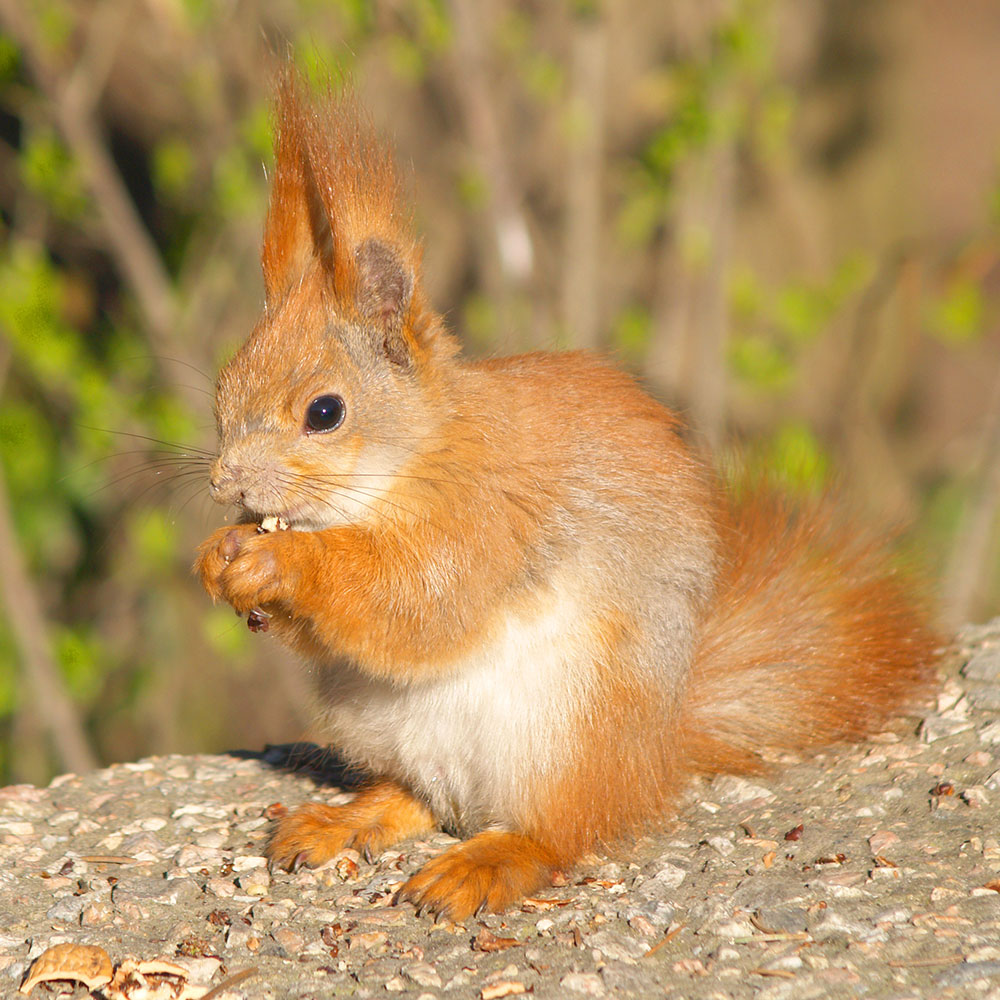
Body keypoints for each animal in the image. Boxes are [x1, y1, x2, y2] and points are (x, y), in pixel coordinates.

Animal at [195, 76, 936, 920]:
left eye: (325, 412)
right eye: (223, 387)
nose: (224, 484)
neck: (410, 464)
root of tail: (654, 755)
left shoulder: (492, 520)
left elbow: (415, 602)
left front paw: (283, 561)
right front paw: (220, 556)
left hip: (568, 735)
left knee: (558, 832)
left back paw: (485, 862)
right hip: (385, 726)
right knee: (417, 798)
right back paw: (343, 819)